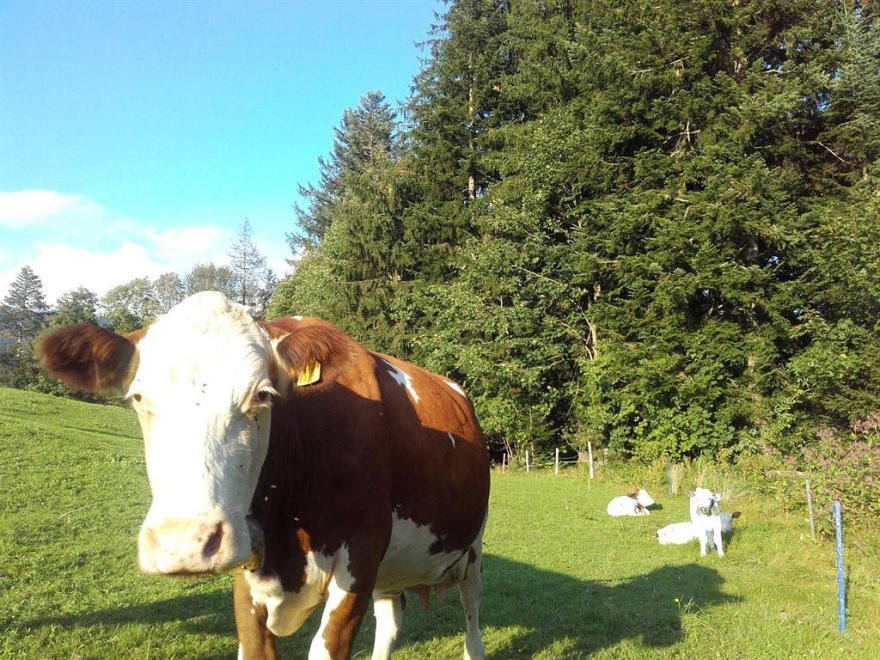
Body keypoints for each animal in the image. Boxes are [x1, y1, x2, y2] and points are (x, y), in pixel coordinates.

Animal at [37, 291, 490, 660]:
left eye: (262, 395)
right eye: (138, 397)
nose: (185, 545)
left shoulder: (361, 555)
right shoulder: (250, 561)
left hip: (472, 548)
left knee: (471, 617)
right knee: (391, 622)